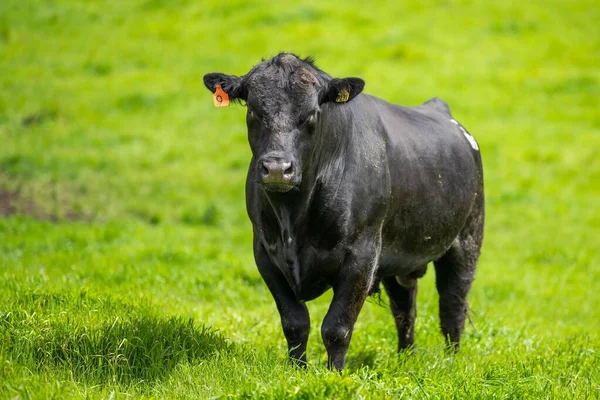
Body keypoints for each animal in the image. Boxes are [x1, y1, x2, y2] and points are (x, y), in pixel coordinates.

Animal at [204, 53, 486, 372]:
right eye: (253, 110)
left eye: (312, 114)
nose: (277, 168)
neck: (294, 218)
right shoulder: (265, 252)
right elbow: (294, 322)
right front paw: (297, 370)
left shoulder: (362, 254)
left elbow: (337, 326)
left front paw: (334, 374)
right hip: (399, 256)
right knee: (405, 307)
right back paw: (406, 357)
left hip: (466, 240)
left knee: (452, 306)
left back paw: (452, 362)